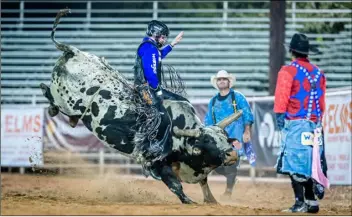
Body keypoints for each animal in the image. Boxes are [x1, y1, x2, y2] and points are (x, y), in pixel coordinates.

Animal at [40, 8, 241, 205]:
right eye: (207, 140)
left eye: (225, 137)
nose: (232, 155)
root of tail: (73, 51)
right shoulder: (157, 163)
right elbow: (175, 185)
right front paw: (190, 201)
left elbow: (204, 182)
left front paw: (212, 201)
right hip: (65, 99)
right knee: (49, 94)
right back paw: (51, 105)